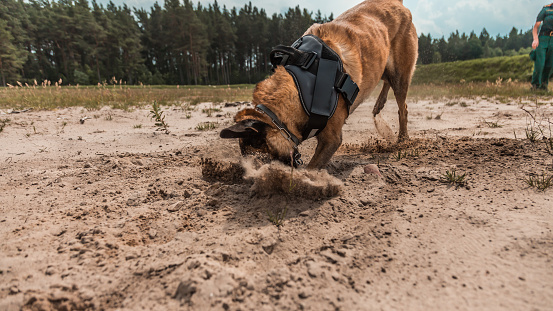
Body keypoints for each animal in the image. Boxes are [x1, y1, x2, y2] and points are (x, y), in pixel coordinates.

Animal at [220, 0, 418, 169]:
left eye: (258, 161)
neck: (301, 86)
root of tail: (397, 3)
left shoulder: (331, 140)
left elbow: (311, 168)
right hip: (384, 64)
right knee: (386, 80)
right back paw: (379, 104)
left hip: (401, 74)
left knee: (403, 107)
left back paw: (402, 140)